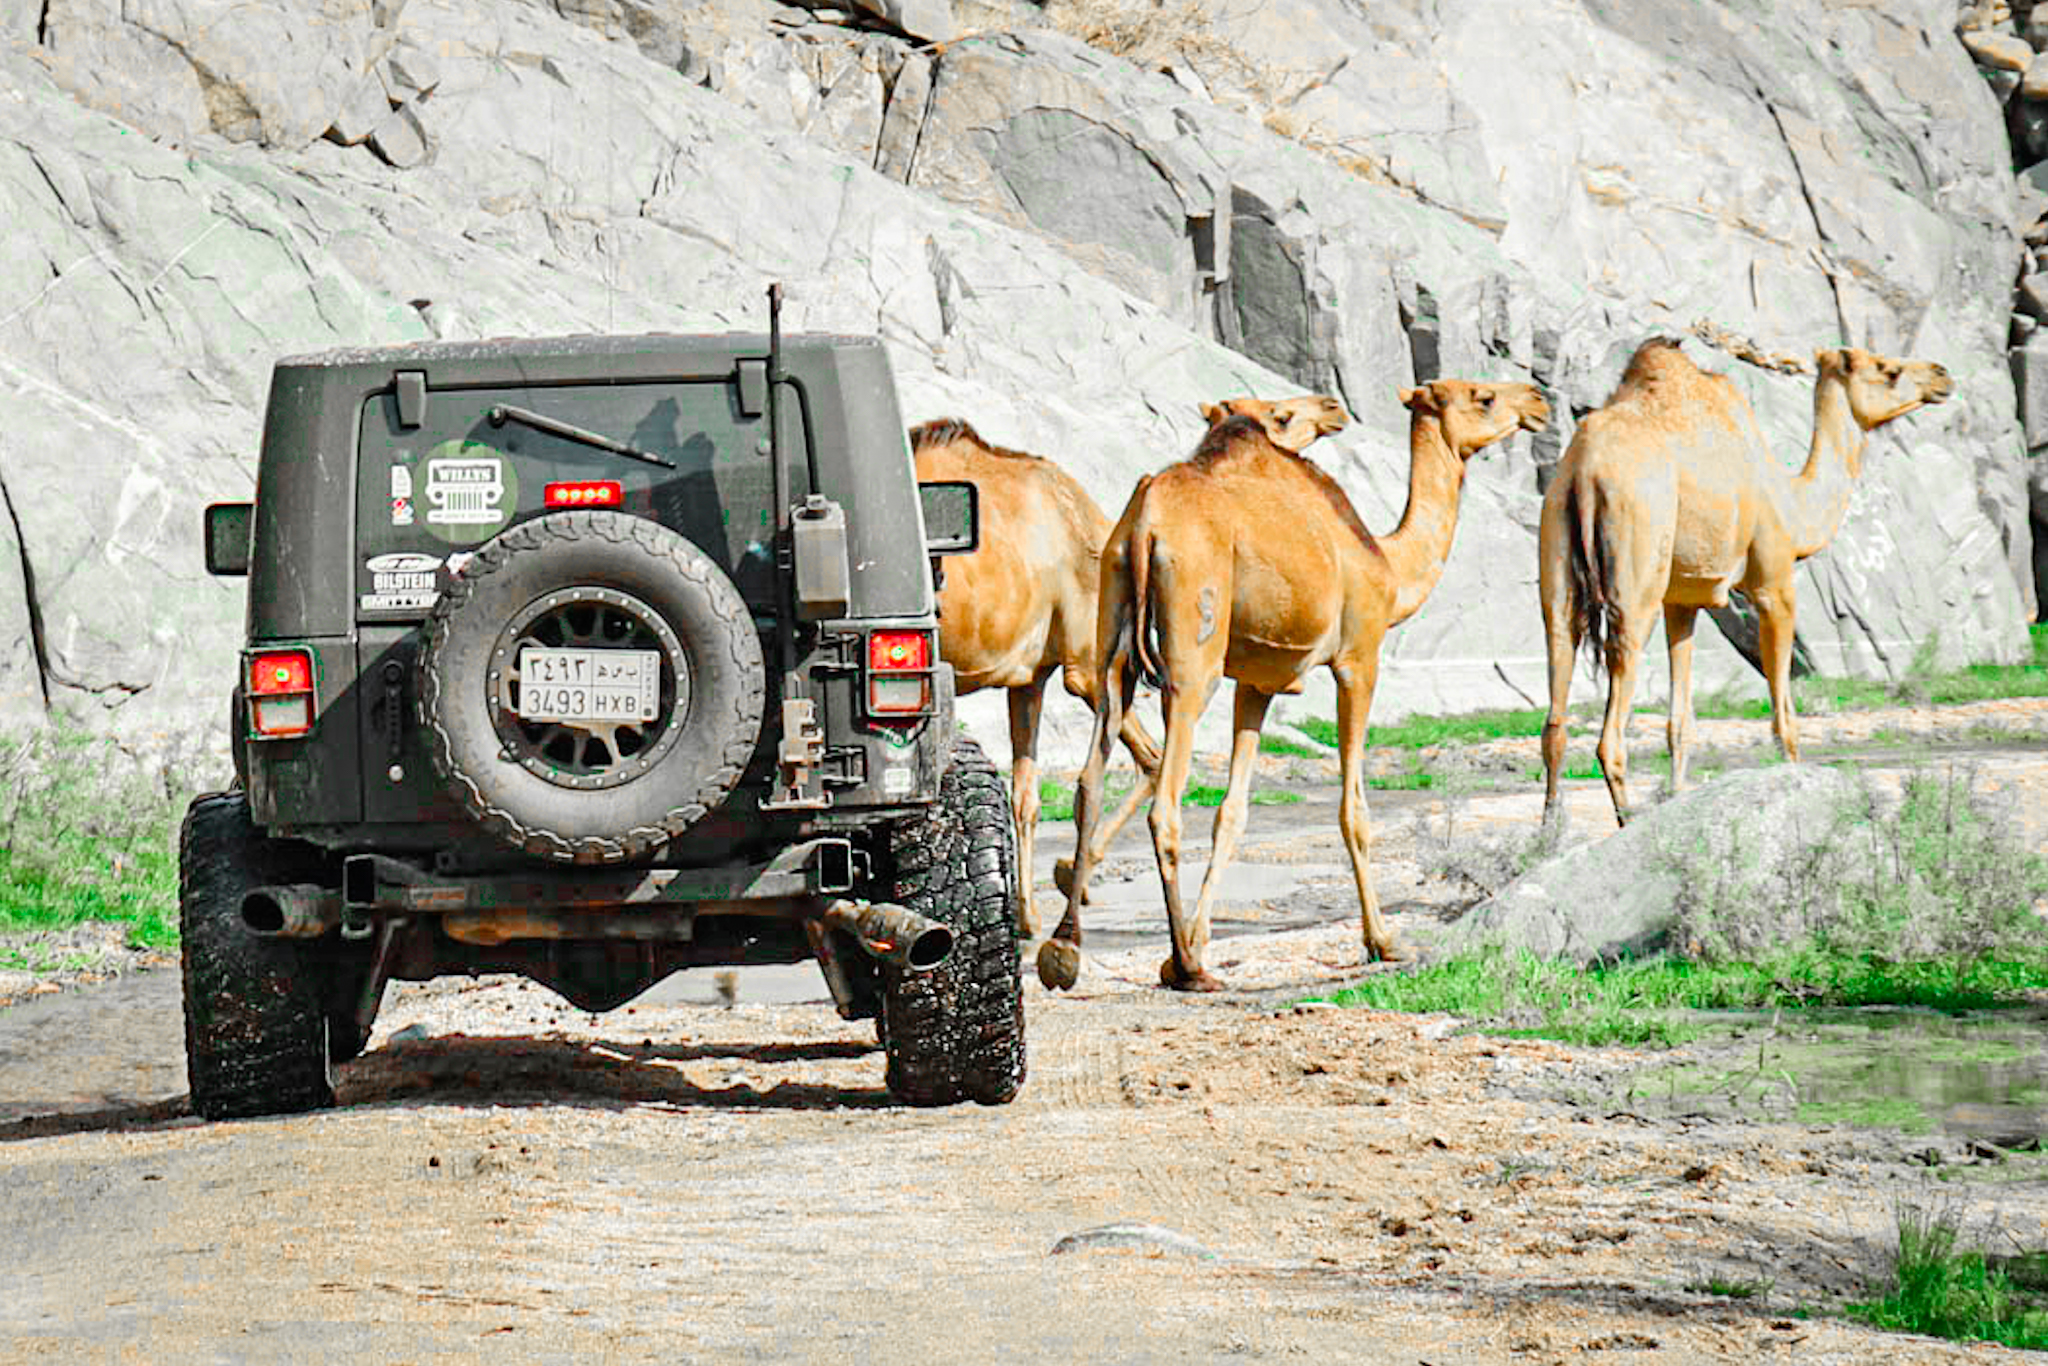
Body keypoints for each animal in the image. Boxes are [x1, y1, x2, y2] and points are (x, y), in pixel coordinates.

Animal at [909, 403, 1343, 942]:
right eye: (1280, 416)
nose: (1333, 412)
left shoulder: (1031, 672)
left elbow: (1026, 796)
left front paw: (1029, 915)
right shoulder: (1083, 662)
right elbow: (1143, 762)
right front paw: (1054, 896)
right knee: (1151, 757)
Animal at [1040, 378, 1548, 987]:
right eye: (1483, 396)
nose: (1537, 400)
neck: (1389, 566)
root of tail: (1145, 525)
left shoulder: (1257, 683)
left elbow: (1232, 814)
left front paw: (1200, 937)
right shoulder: (1360, 657)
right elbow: (1354, 810)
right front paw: (1383, 941)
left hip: (1112, 622)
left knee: (1089, 781)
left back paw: (1063, 948)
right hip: (1194, 653)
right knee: (1165, 800)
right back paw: (1188, 968)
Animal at [1540, 342, 1949, 835]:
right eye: (1887, 370)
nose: (1941, 375)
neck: (1793, 504)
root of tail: (1585, 472)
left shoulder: (1682, 600)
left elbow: (1680, 724)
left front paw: (1680, 801)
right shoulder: (1775, 583)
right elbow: (1785, 719)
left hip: (1556, 547)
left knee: (1556, 708)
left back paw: (1548, 836)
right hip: (1636, 567)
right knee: (1610, 734)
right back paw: (1627, 823)